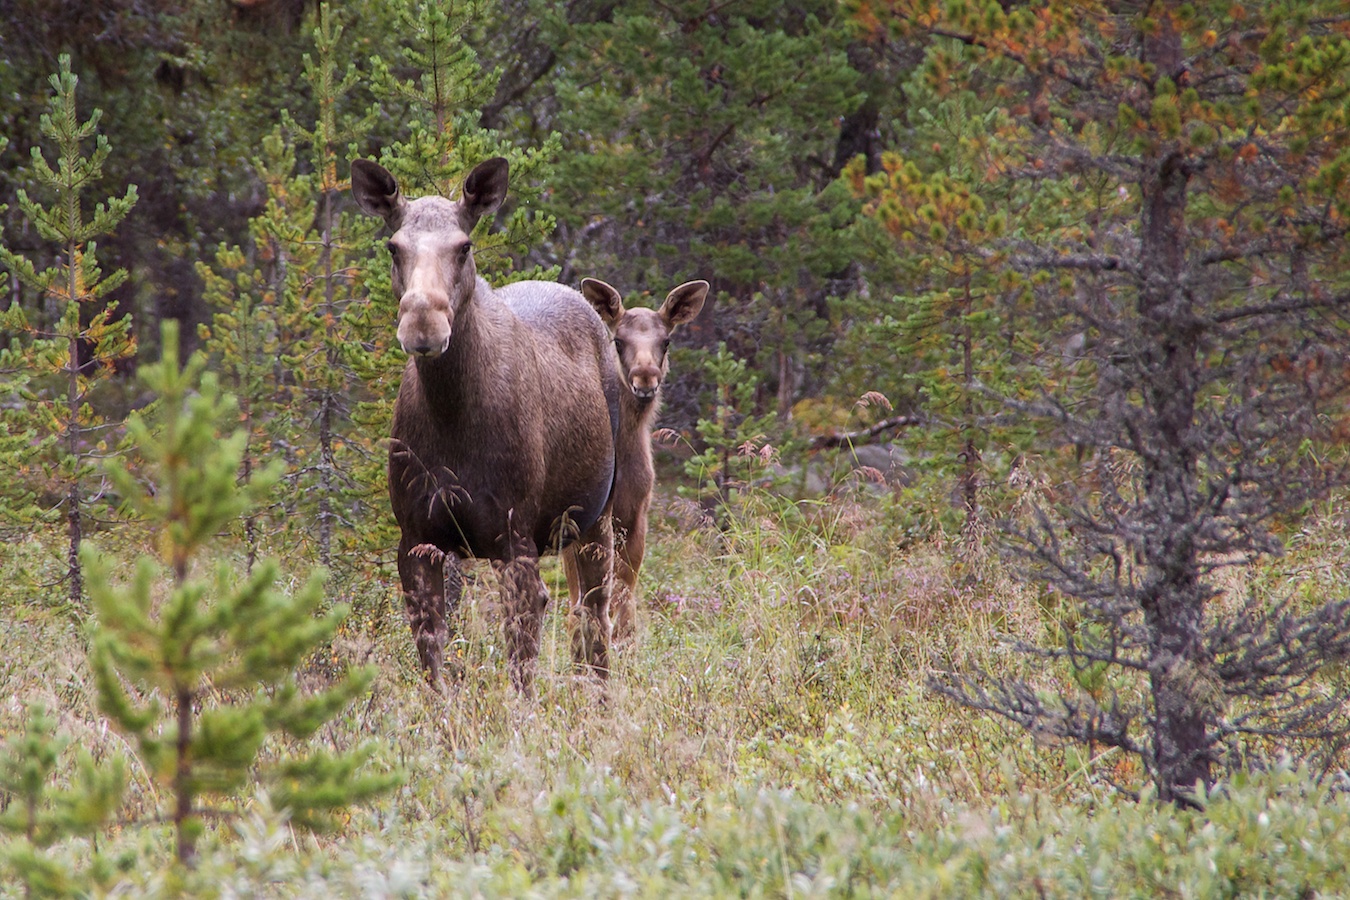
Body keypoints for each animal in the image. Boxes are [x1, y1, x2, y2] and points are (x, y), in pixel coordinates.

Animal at [351, 158, 618, 696]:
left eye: (464, 245)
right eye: (393, 246)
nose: (423, 325)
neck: (453, 415)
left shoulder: (514, 540)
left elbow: (521, 673)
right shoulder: (416, 538)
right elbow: (434, 665)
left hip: (599, 514)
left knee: (597, 617)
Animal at [558, 277, 707, 644]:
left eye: (666, 341)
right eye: (618, 340)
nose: (645, 378)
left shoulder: (636, 514)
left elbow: (625, 599)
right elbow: (581, 598)